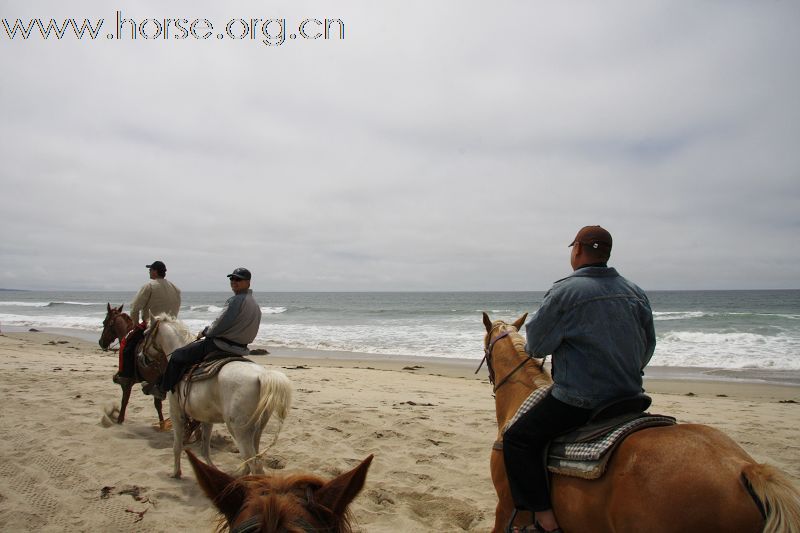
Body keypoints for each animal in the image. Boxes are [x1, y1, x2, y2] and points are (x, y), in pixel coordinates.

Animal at [144, 314, 294, 476]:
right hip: (257, 430)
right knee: (251, 462)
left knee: (254, 466)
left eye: (145, 333)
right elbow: (205, 448)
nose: (142, 357)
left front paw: (176, 473)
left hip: (239, 431)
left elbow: (177, 446)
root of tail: (262, 376)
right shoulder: (206, 418)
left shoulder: (176, 413)